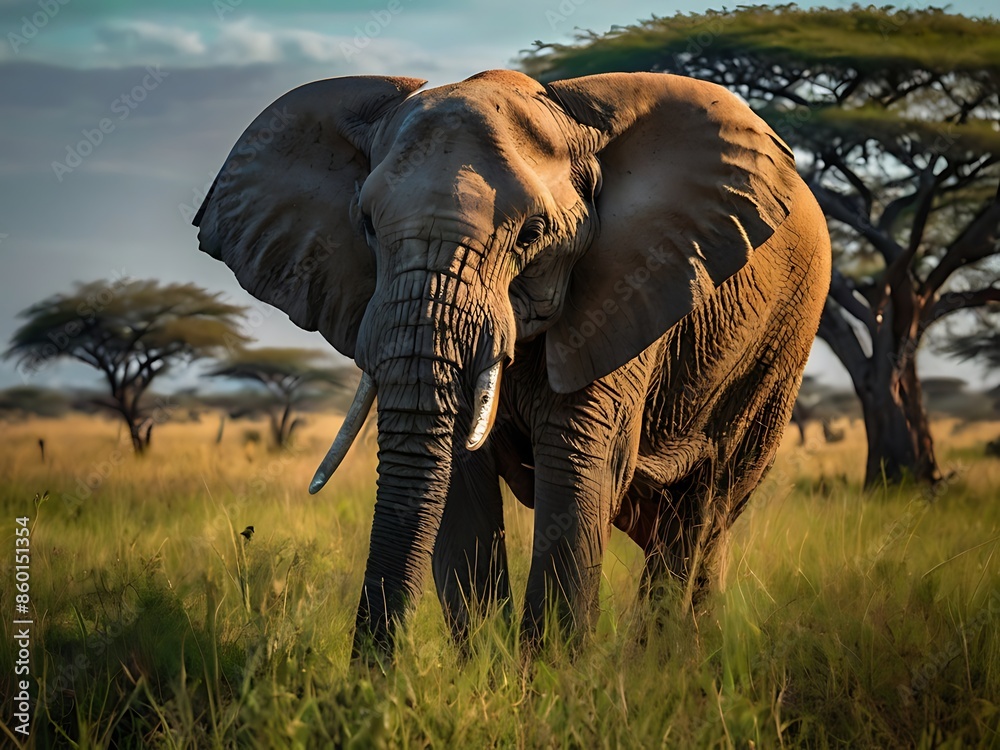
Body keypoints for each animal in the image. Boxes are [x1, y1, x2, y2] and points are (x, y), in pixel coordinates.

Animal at [193, 69, 831, 663]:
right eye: (367, 225)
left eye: (532, 233)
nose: (367, 676)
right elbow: (460, 488)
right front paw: (488, 676)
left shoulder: (629, 286)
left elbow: (577, 473)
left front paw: (550, 682)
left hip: (778, 348)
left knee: (703, 507)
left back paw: (667, 667)